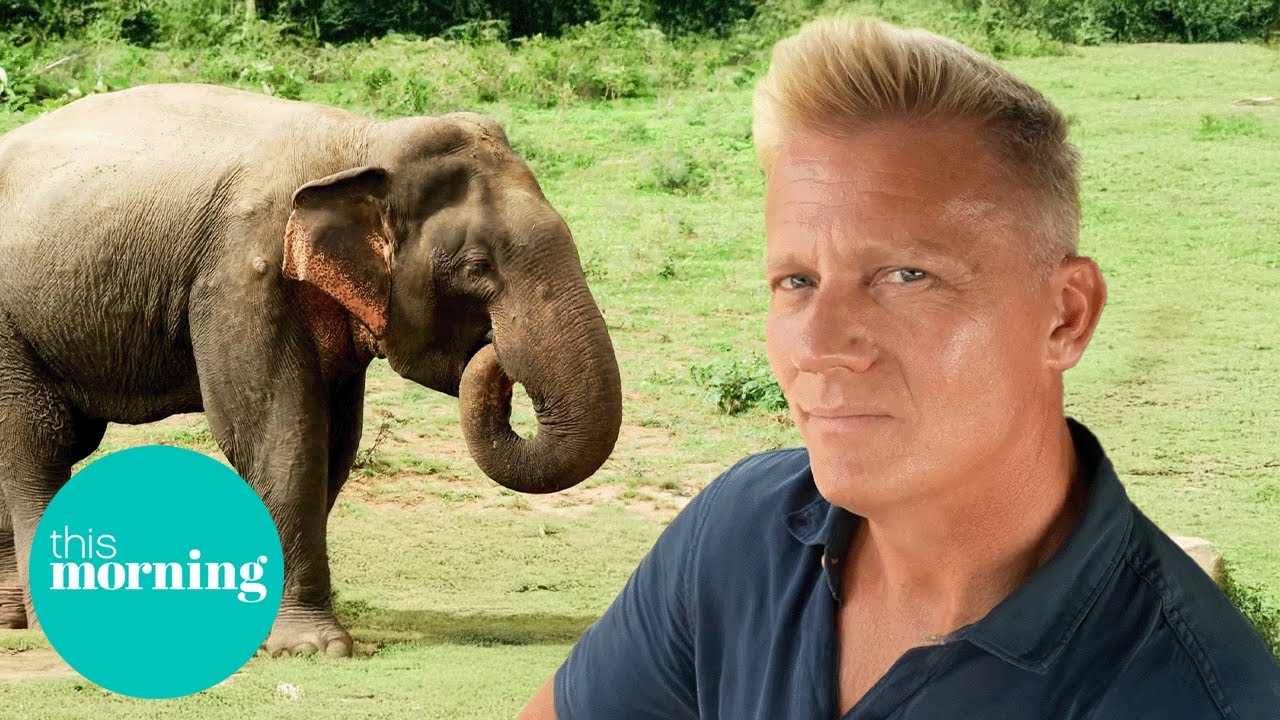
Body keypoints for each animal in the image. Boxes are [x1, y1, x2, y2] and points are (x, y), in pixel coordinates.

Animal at [0, 83, 622, 656]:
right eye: (476, 267)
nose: (494, 352)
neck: (366, 141)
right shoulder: (243, 271)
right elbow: (276, 432)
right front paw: (312, 648)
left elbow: (336, 442)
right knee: (39, 440)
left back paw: (10, 618)